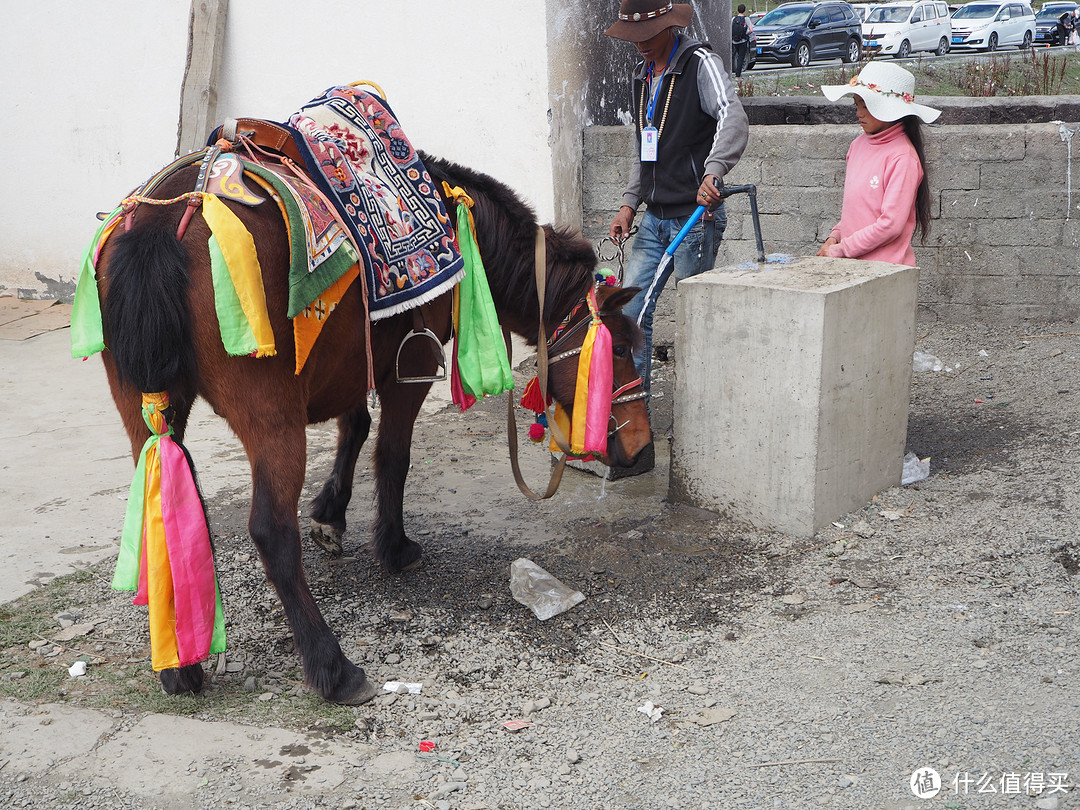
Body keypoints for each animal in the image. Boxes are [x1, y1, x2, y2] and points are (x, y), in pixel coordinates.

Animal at [95, 151, 648, 704]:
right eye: (619, 348)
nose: (642, 450)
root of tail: (168, 220)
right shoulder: (412, 367)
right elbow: (393, 457)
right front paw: (395, 547)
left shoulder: (352, 362)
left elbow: (355, 429)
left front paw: (330, 514)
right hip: (271, 414)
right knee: (271, 530)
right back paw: (333, 667)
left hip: (146, 408)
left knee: (162, 508)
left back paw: (179, 666)